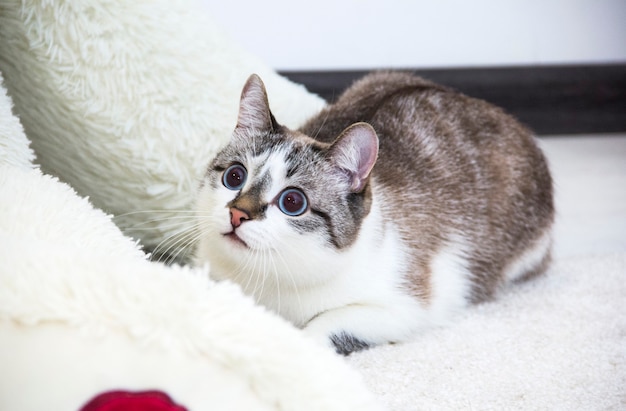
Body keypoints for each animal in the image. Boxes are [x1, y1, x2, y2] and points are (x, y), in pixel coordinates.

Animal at [194, 71, 552, 354]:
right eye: (234, 177)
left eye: (292, 202)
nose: (237, 214)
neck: (268, 277)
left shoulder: (408, 307)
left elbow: (325, 326)